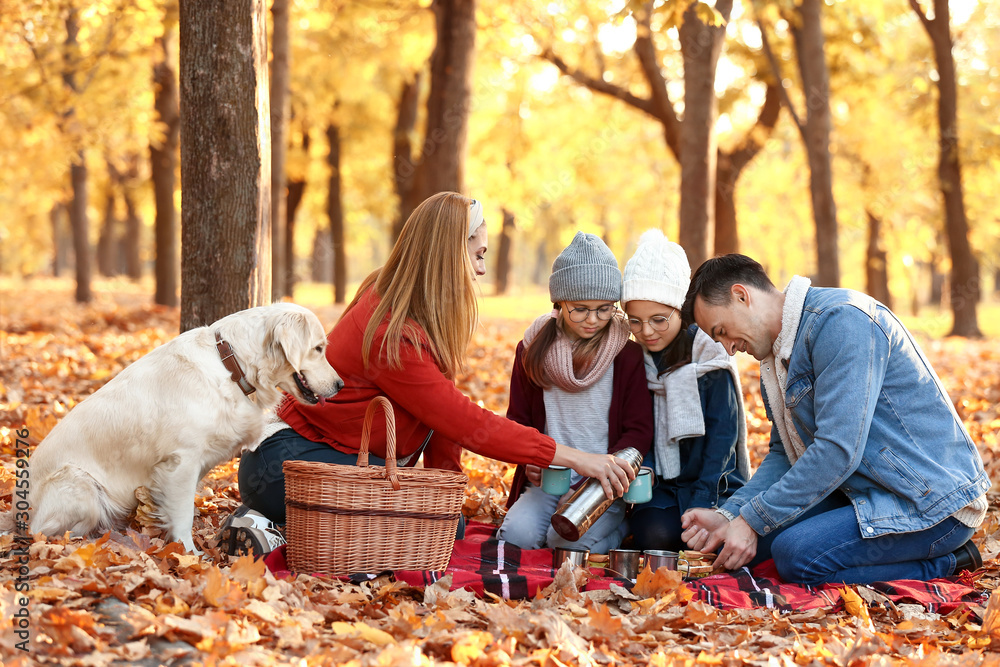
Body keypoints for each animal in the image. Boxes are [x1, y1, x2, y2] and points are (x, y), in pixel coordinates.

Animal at [23, 302, 342, 552]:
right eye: (318, 348)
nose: (340, 385)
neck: (230, 364)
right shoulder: (182, 461)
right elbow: (183, 513)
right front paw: (189, 553)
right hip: (81, 484)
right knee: (50, 532)